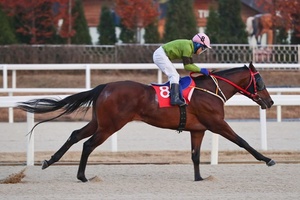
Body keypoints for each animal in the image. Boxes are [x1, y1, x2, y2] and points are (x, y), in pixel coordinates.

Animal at [17, 61, 276, 182]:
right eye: (260, 81)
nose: (270, 102)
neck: (210, 90)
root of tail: (105, 87)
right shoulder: (217, 124)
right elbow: (243, 142)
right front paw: (267, 159)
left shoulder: (198, 129)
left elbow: (195, 155)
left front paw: (199, 177)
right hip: (111, 125)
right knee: (88, 144)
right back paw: (82, 176)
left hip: (99, 122)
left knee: (75, 135)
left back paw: (49, 161)